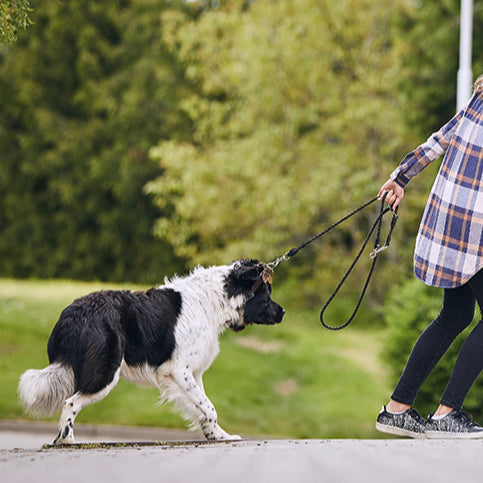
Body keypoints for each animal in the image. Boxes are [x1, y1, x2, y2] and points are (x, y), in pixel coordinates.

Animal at [18, 260, 284, 444]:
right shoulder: (178, 370)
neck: (213, 302)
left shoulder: (192, 374)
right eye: (267, 294)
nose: (283, 312)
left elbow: (204, 408)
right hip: (105, 373)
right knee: (71, 402)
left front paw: (218, 436)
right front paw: (218, 435)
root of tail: (73, 312)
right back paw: (66, 440)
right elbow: (209, 407)